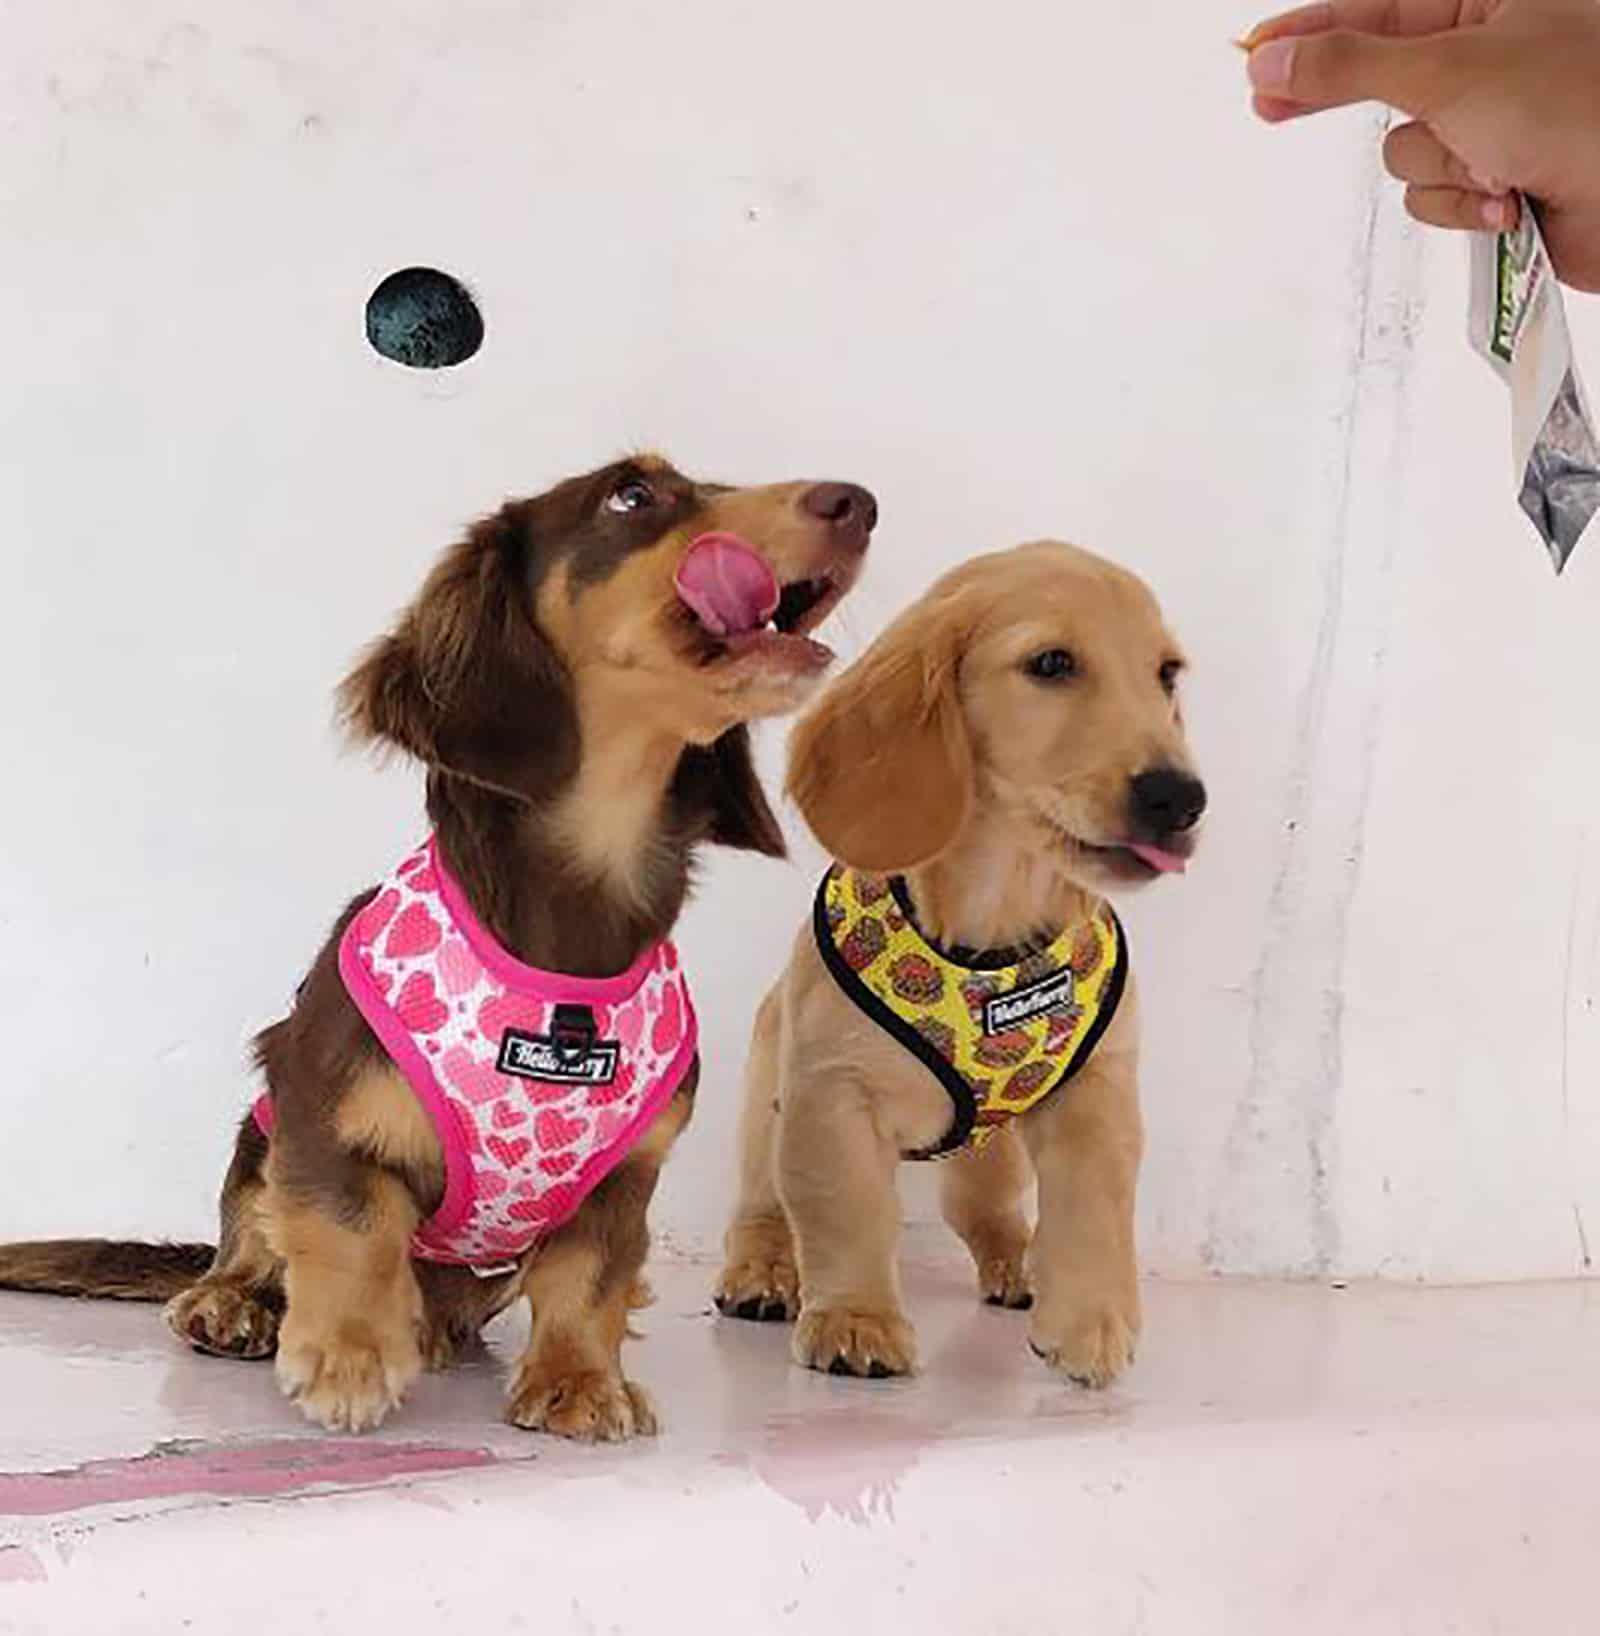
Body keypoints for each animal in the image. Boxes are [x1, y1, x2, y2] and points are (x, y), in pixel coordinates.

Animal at [710, 543, 1197, 1387]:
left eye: (1166, 673)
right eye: (1051, 662)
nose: (1182, 799)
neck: (992, 929)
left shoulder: (1098, 1092)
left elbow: (1094, 1208)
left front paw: (1090, 1322)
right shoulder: (830, 1097)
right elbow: (848, 1212)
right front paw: (857, 1320)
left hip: (990, 1161)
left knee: (988, 1214)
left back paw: (1019, 1268)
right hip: (765, 1102)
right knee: (763, 1204)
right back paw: (763, 1272)